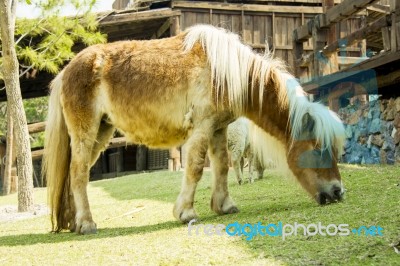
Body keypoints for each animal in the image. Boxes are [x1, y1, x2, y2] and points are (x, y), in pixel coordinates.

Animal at [42, 23, 346, 234]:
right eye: (318, 149)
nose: (337, 192)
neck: (225, 72)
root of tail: (66, 71)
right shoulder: (202, 128)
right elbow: (197, 168)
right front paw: (186, 212)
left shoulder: (219, 130)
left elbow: (222, 166)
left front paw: (224, 205)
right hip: (86, 133)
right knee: (78, 174)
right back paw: (87, 223)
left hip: (100, 134)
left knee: (74, 176)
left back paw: (74, 222)